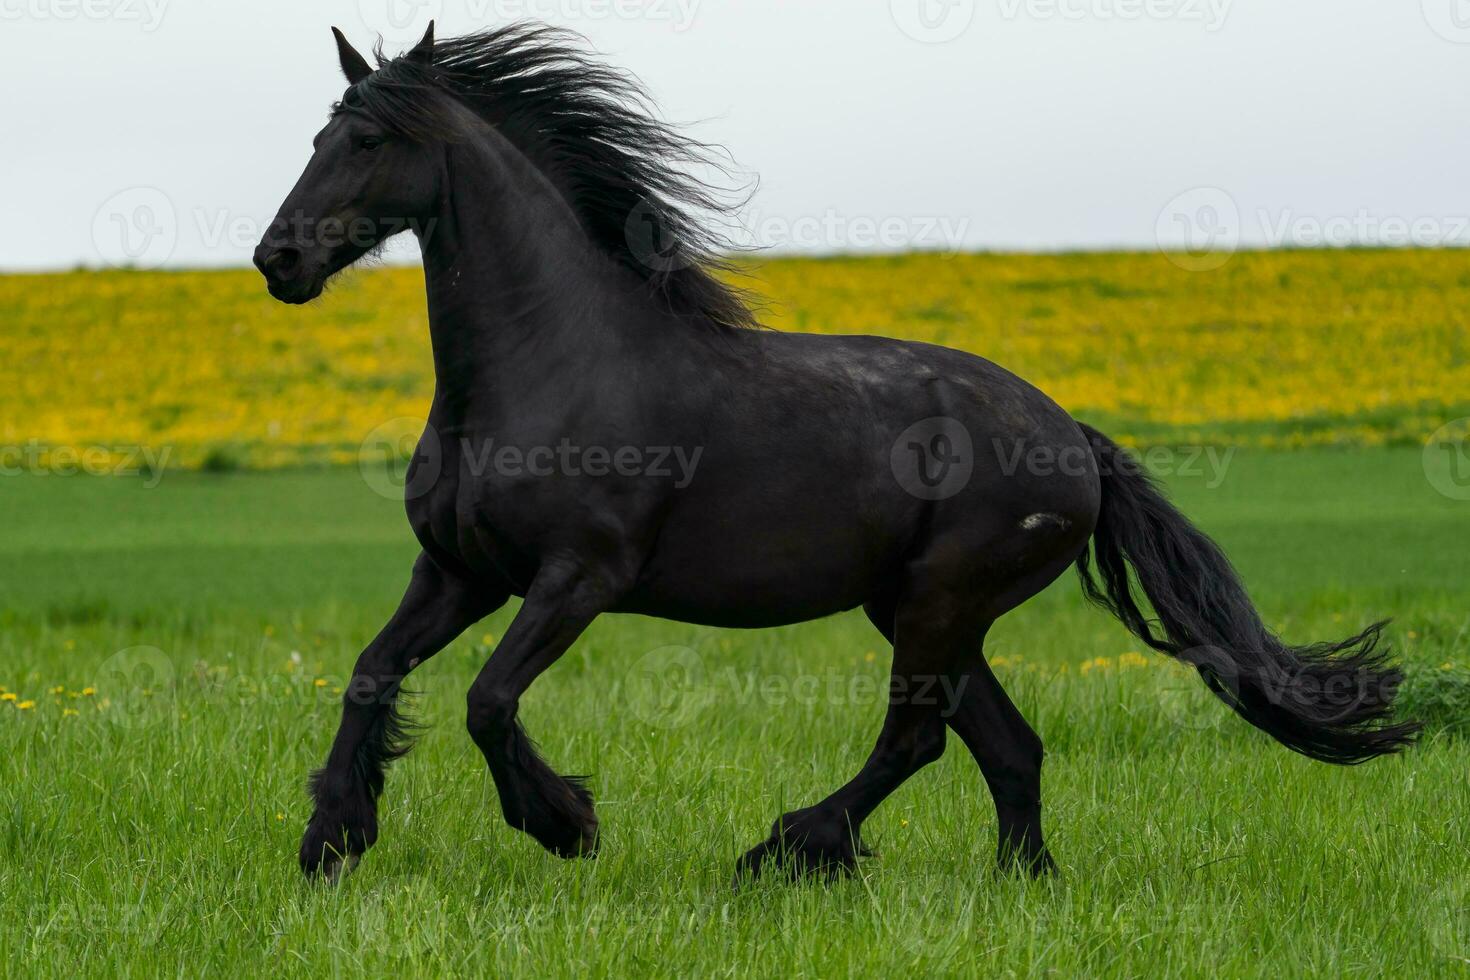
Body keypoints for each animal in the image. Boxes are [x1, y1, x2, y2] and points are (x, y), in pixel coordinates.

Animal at [258, 21, 1417, 881]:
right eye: (318, 136)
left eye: (369, 142)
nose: (279, 259)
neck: (546, 366)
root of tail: (1074, 439)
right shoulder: (458, 571)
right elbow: (370, 674)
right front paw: (332, 839)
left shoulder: (577, 578)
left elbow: (488, 700)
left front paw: (567, 823)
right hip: (922, 611)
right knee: (1007, 745)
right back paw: (1019, 881)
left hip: (938, 604)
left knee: (921, 739)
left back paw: (783, 849)